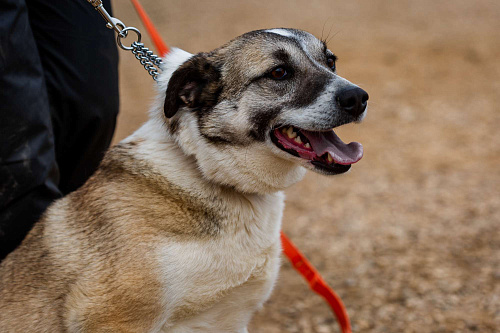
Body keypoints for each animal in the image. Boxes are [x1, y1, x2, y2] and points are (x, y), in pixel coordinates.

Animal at [0, 29, 368, 332]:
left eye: (330, 61)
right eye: (279, 72)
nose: (359, 97)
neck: (205, 169)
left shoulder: (229, 321)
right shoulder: (111, 319)